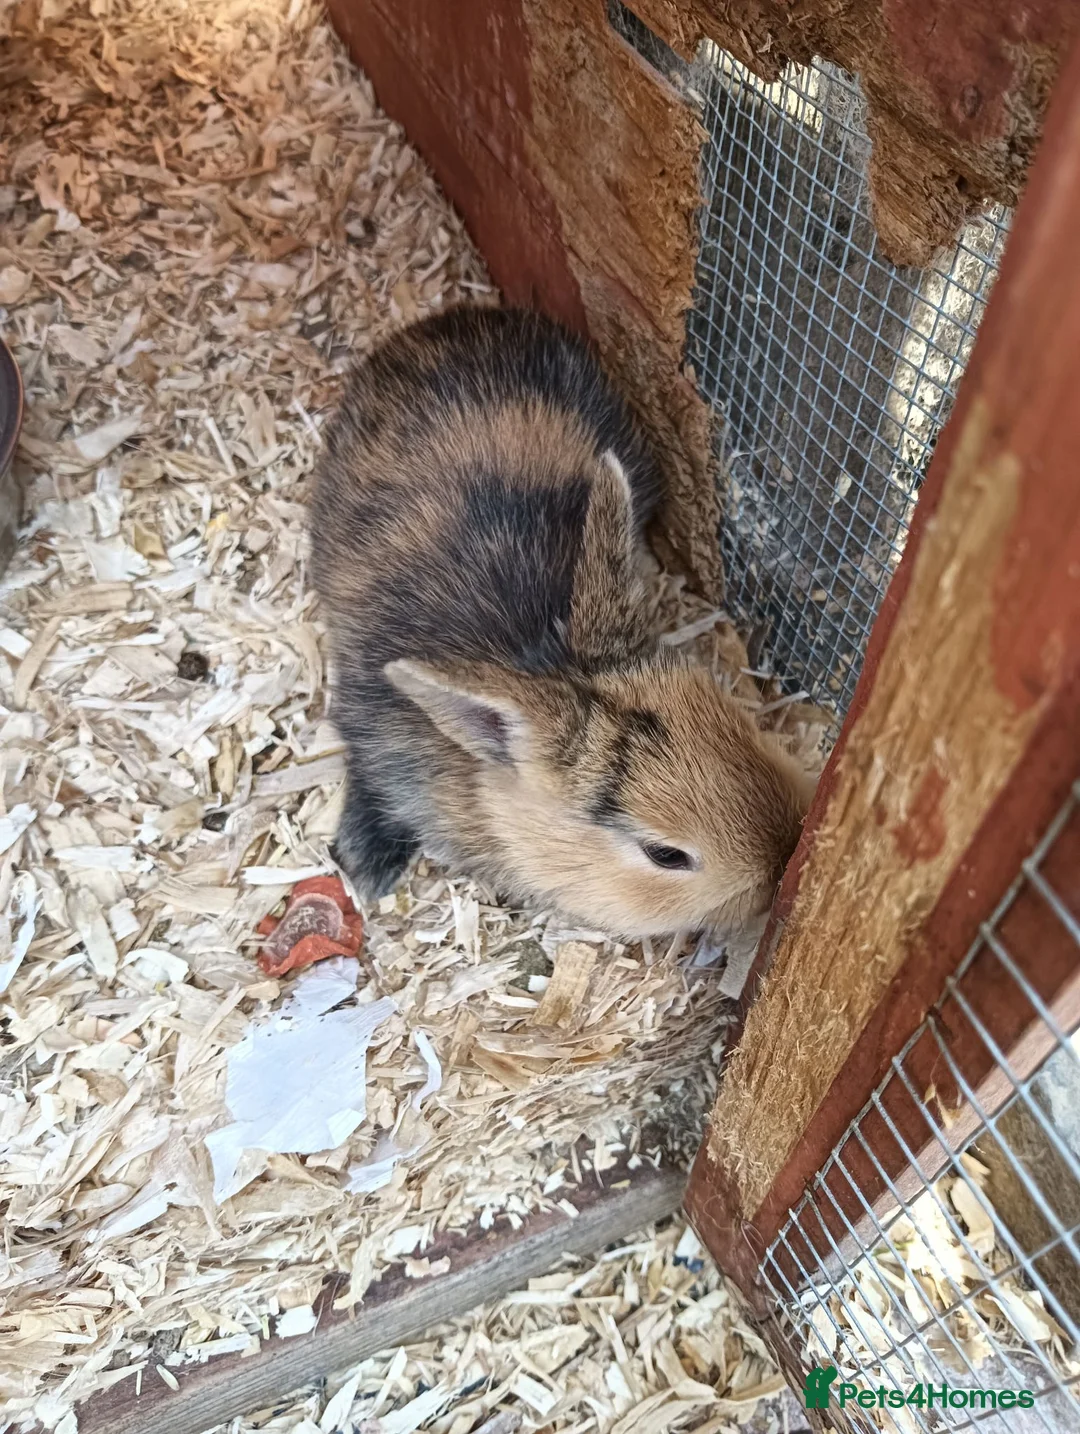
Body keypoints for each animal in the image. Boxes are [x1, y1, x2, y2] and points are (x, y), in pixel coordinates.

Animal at [310, 305, 813, 940]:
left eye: (738, 722)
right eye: (665, 855)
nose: (782, 856)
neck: (543, 658)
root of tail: (453, 318)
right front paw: (367, 869)